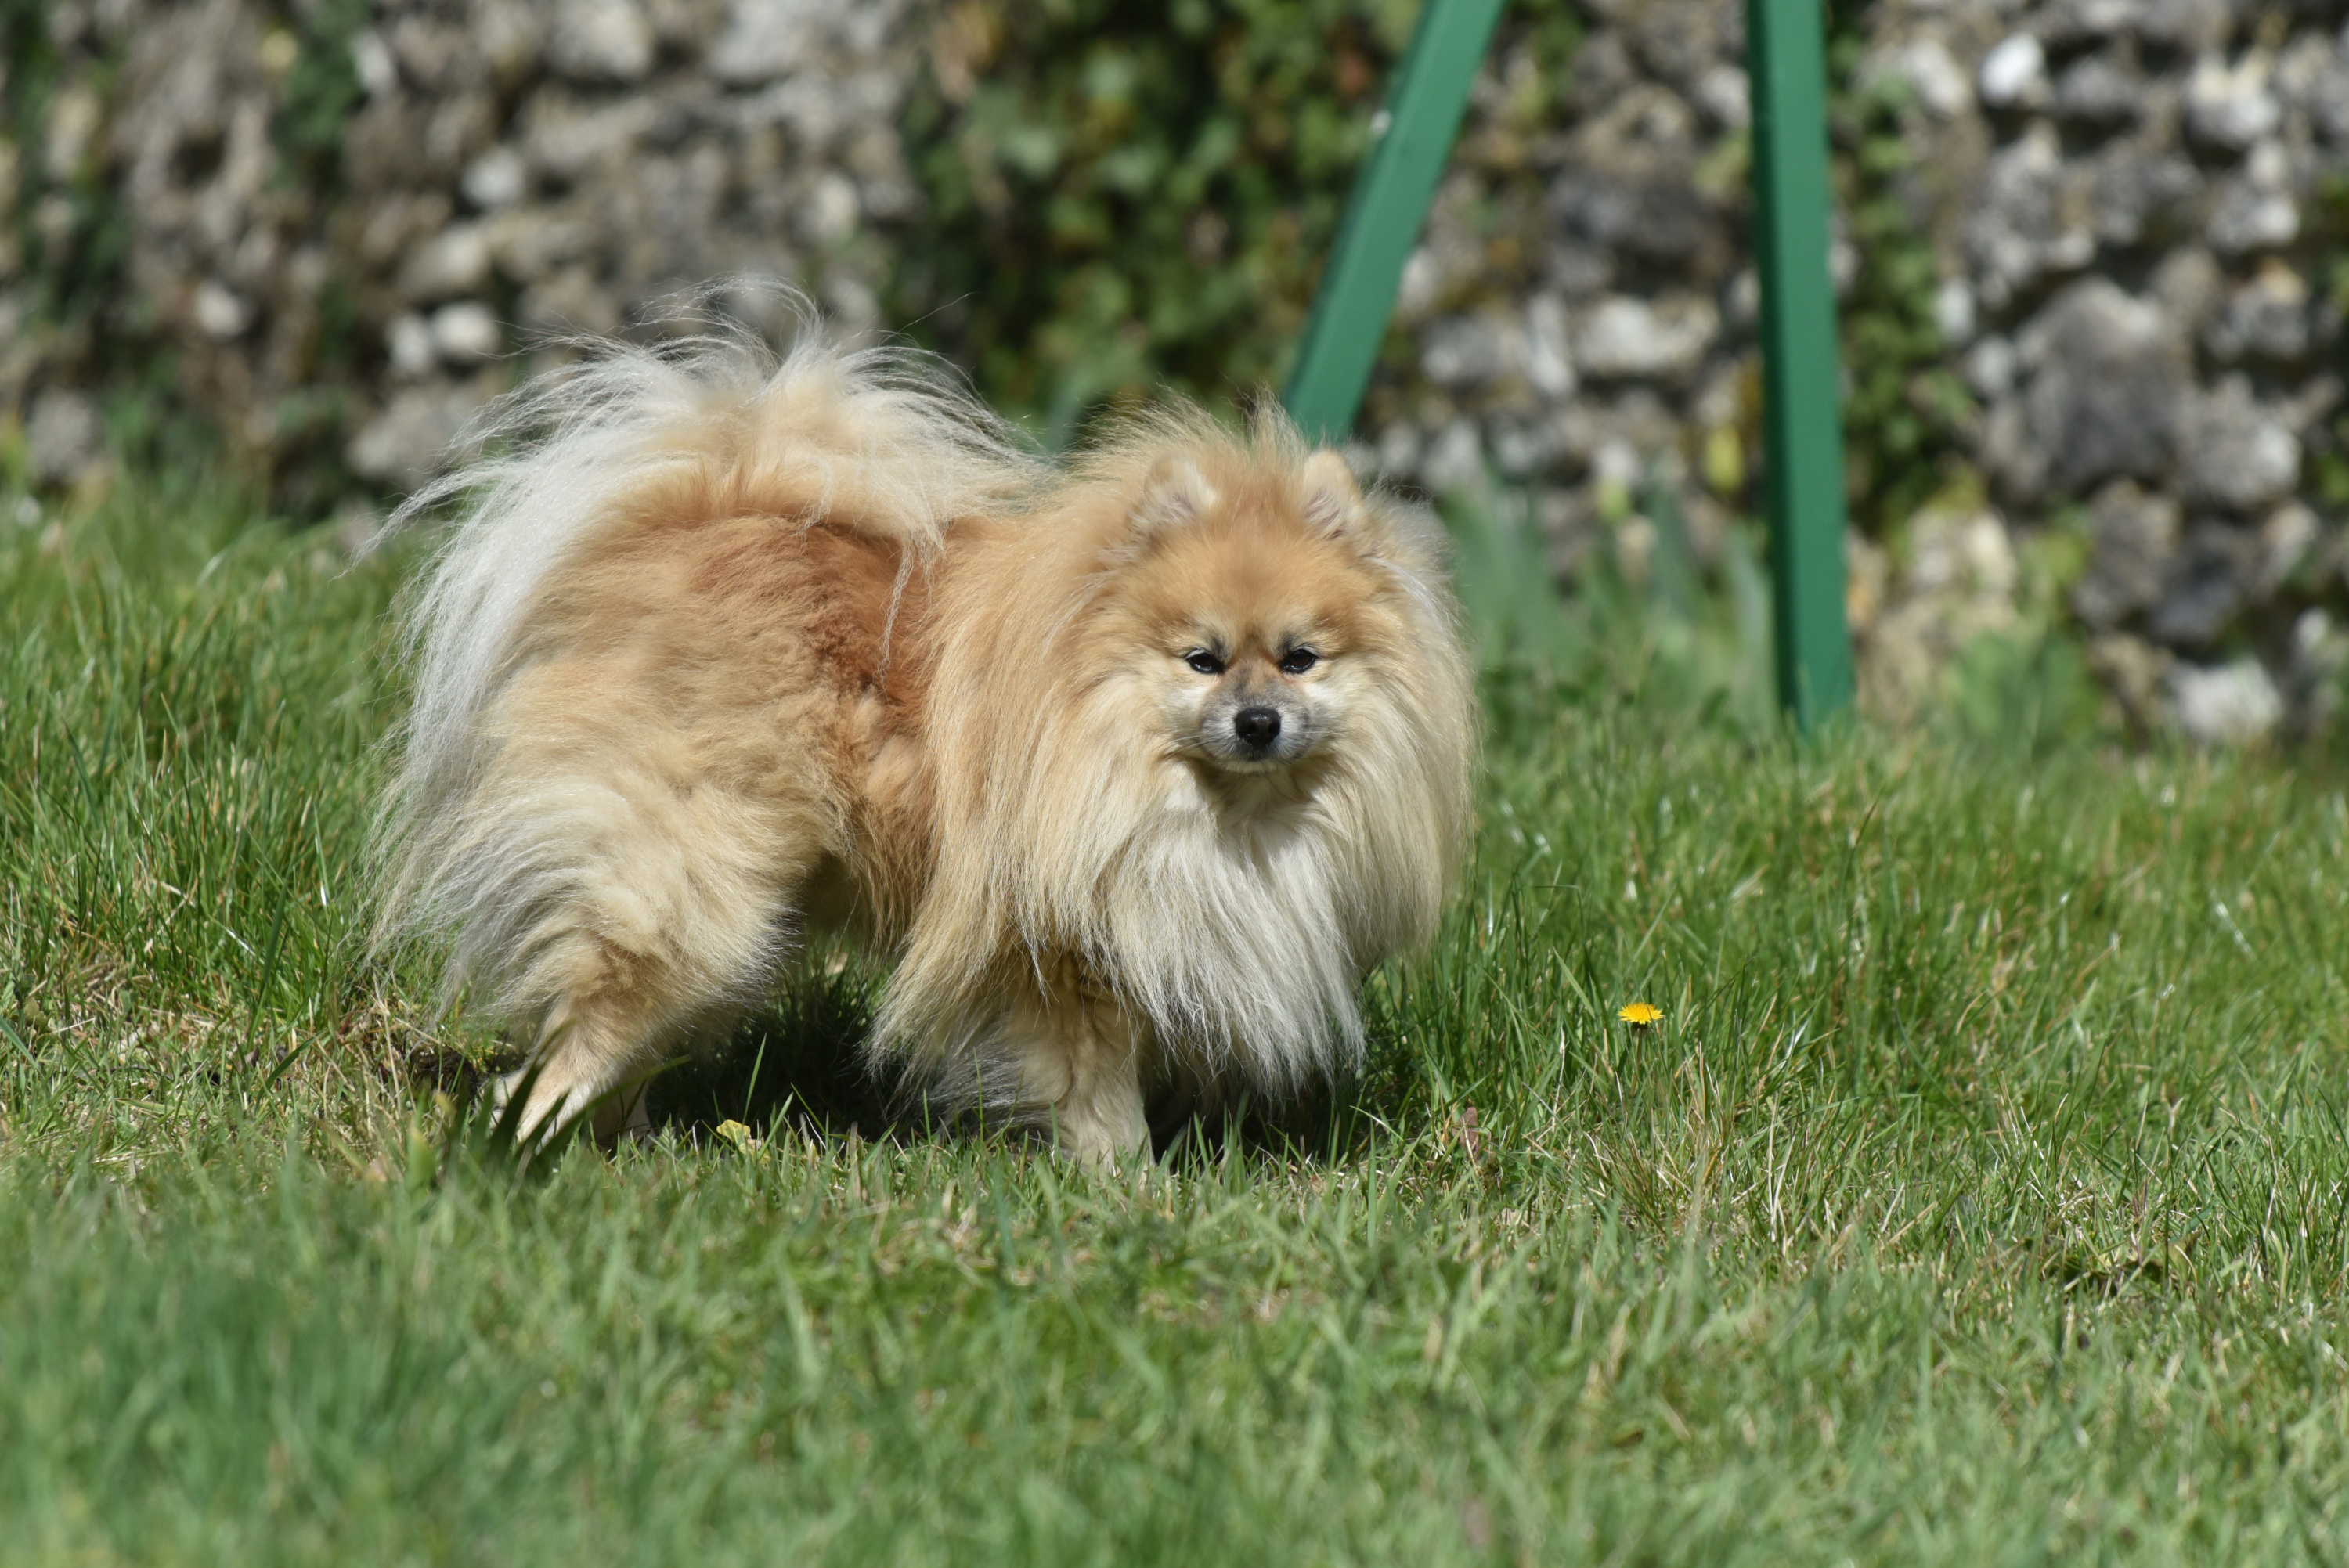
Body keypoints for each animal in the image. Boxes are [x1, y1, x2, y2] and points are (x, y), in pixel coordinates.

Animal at [381, 309, 1485, 1164]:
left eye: (1301, 659)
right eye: (1202, 661)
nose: (1259, 721)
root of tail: (703, 510)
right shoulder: (1063, 951)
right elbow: (1094, 1083)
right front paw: (1128, 1183)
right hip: (692, 877)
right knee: (599, 1015)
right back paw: (532, 1133)